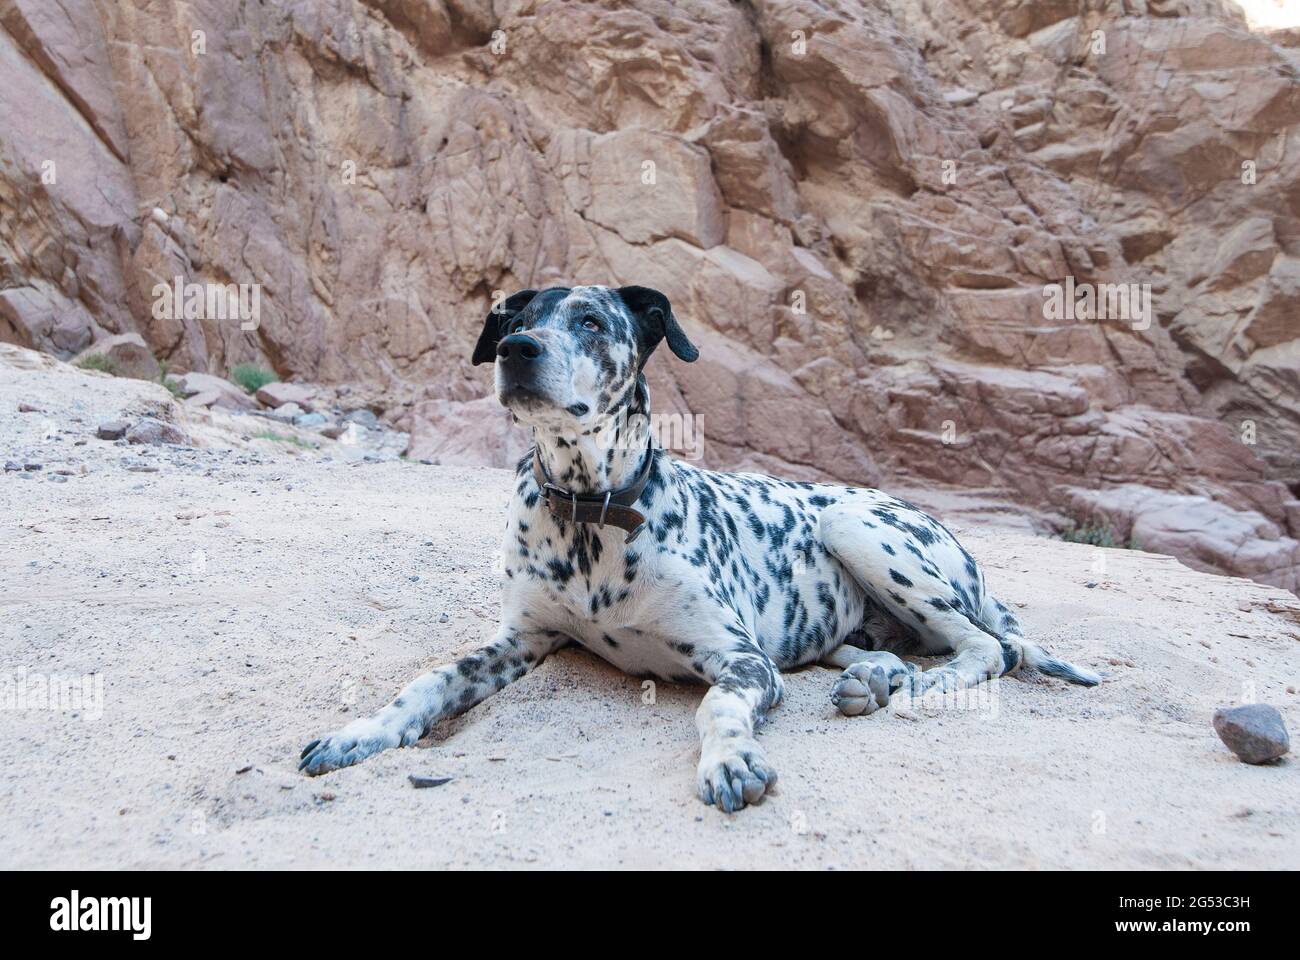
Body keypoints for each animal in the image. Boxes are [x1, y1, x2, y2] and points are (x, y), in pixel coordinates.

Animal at [299, 283, 1102, 806]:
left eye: (591, 320)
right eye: (516, 319)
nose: (517, 350)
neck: (590, 511)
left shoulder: (742, 660)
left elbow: (715, 706)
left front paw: (732, 760)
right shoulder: (520, 638)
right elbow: (428, 681)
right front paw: (359, 731)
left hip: (855, 527)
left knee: (988, 646)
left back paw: (927, 684)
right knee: (891, 649)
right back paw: (877, 678)